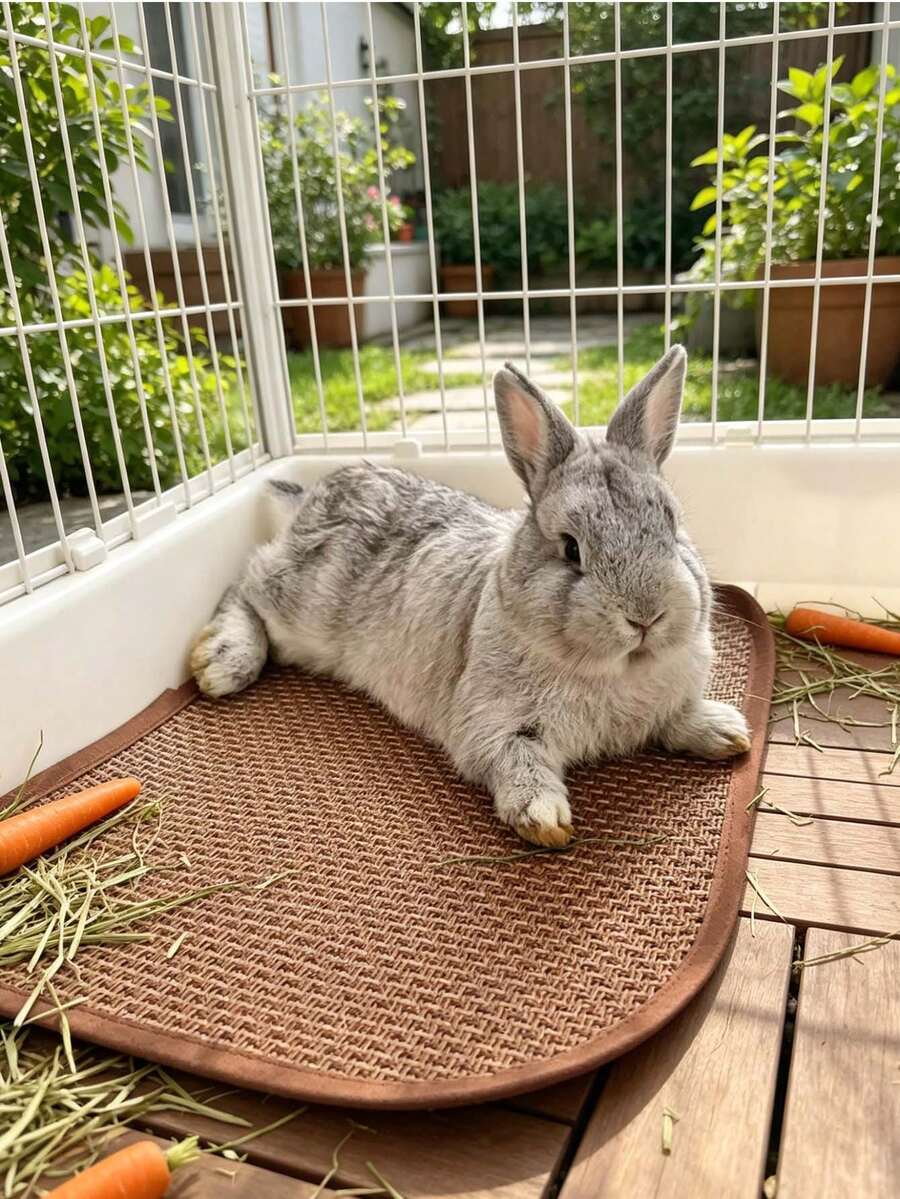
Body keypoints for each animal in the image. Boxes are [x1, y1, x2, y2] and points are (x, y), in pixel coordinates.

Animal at [191, 346, 750, 848]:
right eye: (570, 548)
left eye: (672, 525)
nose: (645, 616)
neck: (617, 669)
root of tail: (314, 495)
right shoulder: (492, 723)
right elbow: (514, 761)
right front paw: (544, 818)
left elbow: (676, 719)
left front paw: (727, 731)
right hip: (300, 607)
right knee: (244, 583)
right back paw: (220, 663)